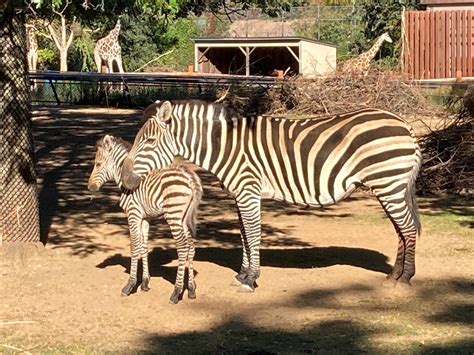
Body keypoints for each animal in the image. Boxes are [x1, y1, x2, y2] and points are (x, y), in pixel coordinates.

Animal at [87, 135, 202, 304]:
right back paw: (192, 290)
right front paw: (145, 283)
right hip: (184, 217)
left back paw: (176, 292)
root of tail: (189, 177)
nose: (90, 187)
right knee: (191, 247)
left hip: (173, 214)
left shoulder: (133, 214)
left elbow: (134, 247)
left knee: (182, 247)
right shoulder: (145, 218)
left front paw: (130, 285)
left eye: (98, 164)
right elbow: (143, 247)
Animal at [122, 99, 422, 292]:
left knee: (408, 229)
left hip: (389, 183)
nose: (124, 180)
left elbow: (253, 234)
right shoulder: (239, 194)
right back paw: (393, 275)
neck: (225, 146)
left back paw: (406, 278)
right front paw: (242, 274)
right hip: (390, 186)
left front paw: (251, 279)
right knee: (401, 230)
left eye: (148, 141)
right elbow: (244, 234)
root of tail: (404, 125)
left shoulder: (248, 190)